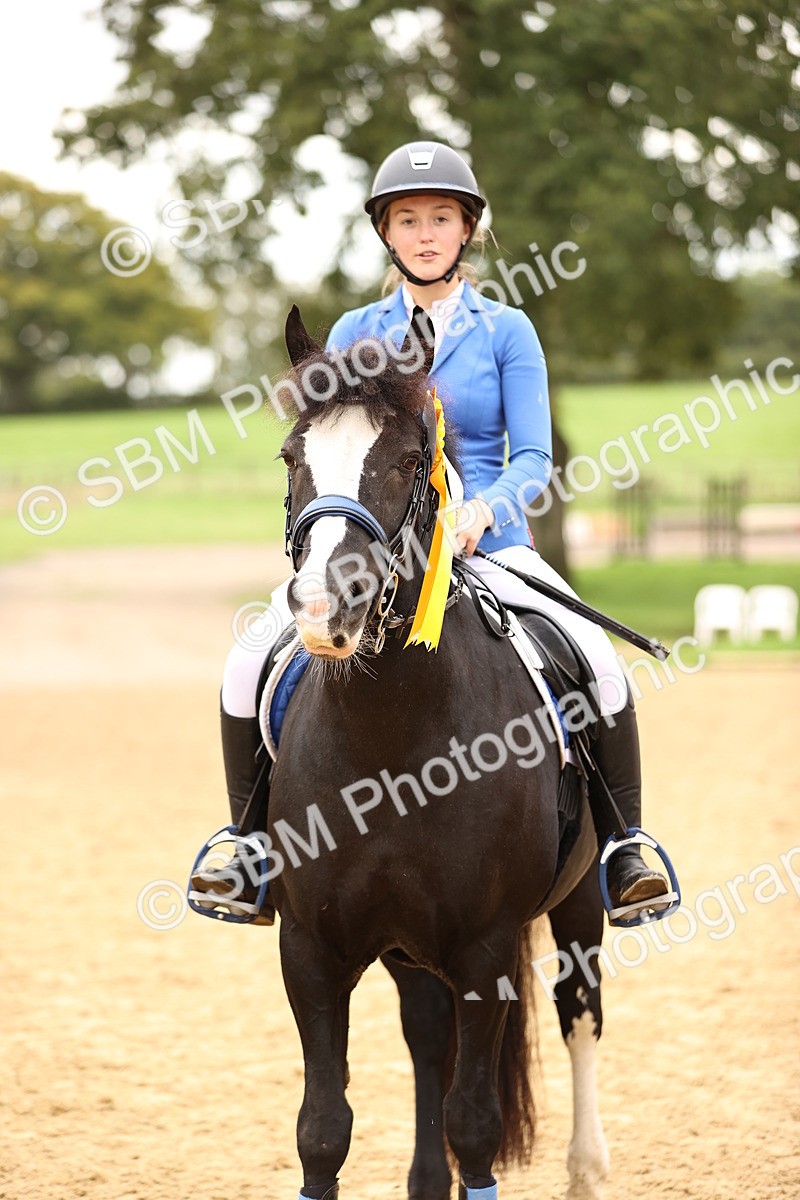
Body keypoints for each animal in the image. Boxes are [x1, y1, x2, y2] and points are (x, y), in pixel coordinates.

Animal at [266, 306, 611, 1200]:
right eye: (291, 456)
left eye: (410, 458)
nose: (326, 606)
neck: (391, 737)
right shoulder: (310, 950)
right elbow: (323, 1130)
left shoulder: (486, 949)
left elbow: (476, 1124)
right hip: (407, 946)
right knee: (427, 1032)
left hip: (581, 903)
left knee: (581, 1011)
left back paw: (588, 1167)